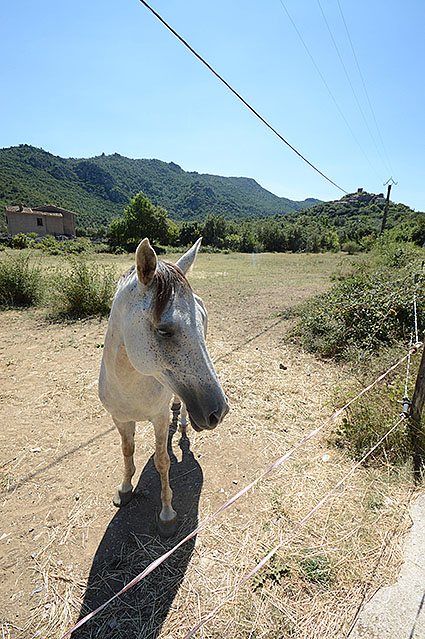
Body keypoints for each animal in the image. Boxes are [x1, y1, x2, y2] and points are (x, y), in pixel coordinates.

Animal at [98, 238, 229, 536]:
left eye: (197, 323)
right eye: (164, 330)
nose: (219, 412)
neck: (129, 387)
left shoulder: (157, 419)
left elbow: (163, 462)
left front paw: (167, 514)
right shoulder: (119, 418)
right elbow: (127, 451)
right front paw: (124, 489)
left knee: (181, 419)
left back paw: (182, 424)